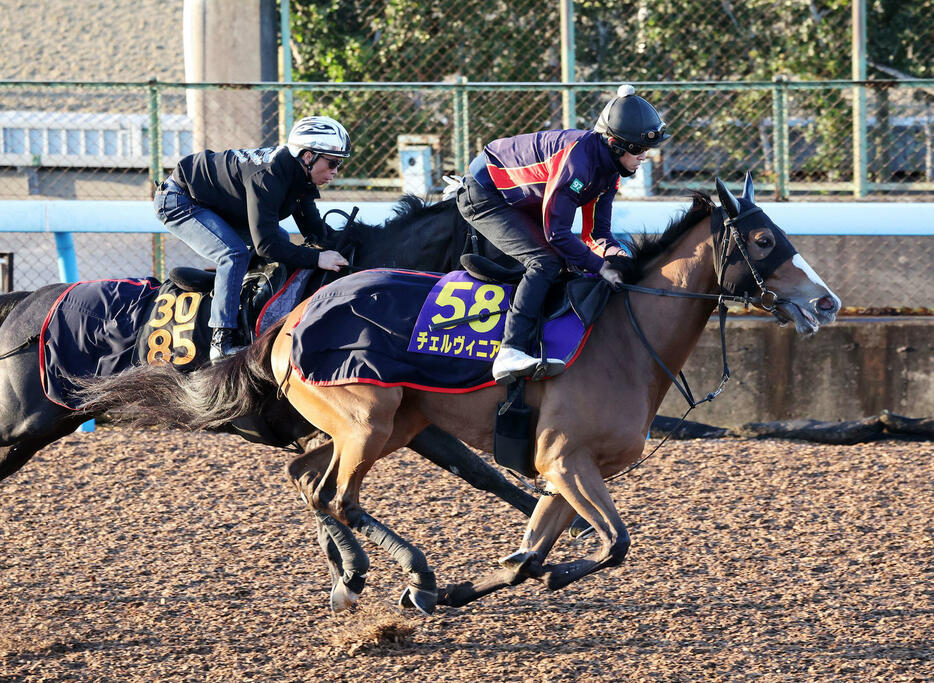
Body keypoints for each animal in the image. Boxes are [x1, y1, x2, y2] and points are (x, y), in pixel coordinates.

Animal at [78, 176, 840, 616]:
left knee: (312, 480)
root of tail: (287, 322)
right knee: (336, 495)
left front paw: (460, 588)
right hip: (369, 422)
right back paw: (389, 569)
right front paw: (547, 574)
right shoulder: (567, 461)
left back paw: (378, 574)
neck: (625, 334)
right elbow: (613, 541)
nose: (827, 302)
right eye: (764, 238)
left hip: (383, 425)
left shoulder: (562, 474)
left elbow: (528, 553)